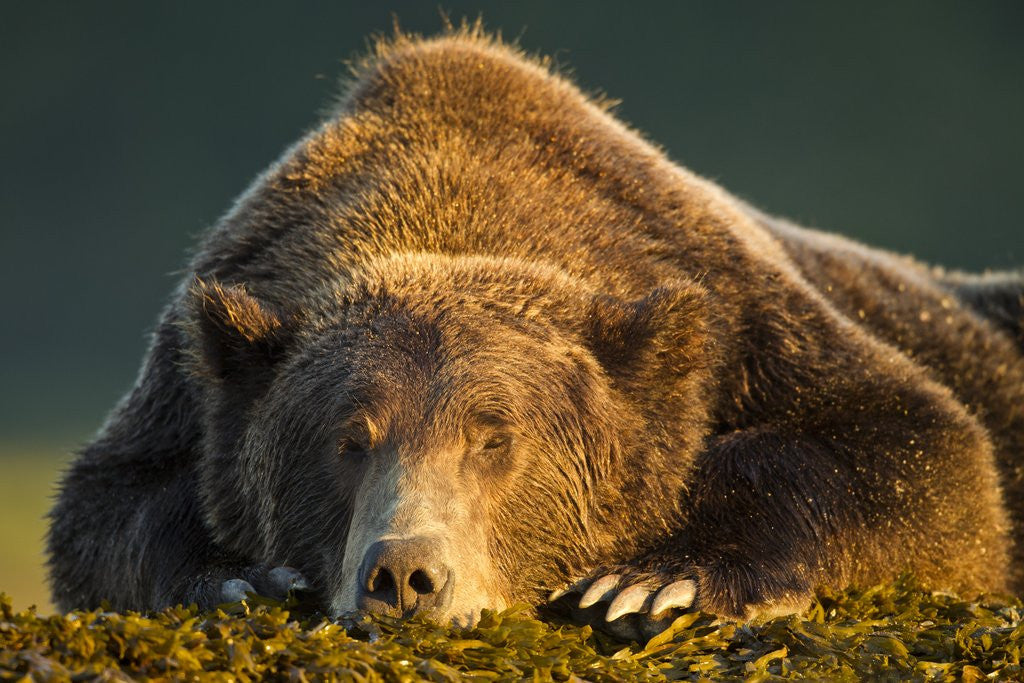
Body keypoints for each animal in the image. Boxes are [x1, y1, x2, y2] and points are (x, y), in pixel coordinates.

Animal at [48, 27, 1024, 640]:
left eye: (495, 438)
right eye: (348, 439)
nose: (405, 575)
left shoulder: (745, 315)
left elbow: (921, 459)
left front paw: (654, 580)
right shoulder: (193, 373)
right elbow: (108, 510)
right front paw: (246, 577)